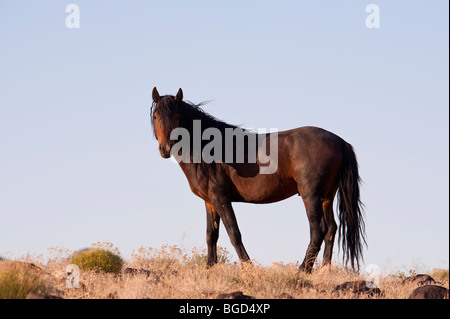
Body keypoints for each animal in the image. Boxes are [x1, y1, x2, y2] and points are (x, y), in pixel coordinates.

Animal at [151, 87, 366, 272]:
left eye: (177, 116)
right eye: (156, 116)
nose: (165, 149)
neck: (210, 149)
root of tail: (340, 141)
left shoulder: (221, 198)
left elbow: (234, 233)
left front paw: (248, 267)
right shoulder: (209, 202)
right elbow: (211, 235)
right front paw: (209, 267)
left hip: (311, 196)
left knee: (318, 229)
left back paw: (303, 269)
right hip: (327, 197)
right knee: (331, 229)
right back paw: (324, 270)